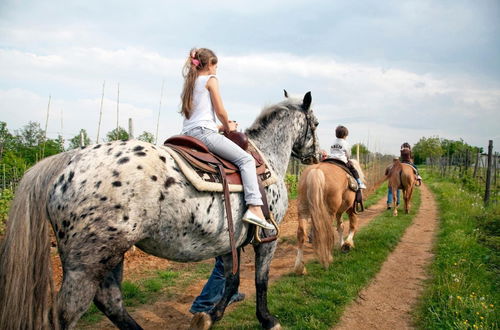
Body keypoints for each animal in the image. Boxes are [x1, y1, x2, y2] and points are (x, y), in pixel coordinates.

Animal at [0, 91, 320, 330]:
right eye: (315, 123)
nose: (317, 155)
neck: (265, 157)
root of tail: (69, 159)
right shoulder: (268, 237)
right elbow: (260, 280)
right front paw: (267, 320)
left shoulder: (229, 241)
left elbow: (231, 279)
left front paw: (210, 316)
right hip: (87, 263)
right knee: (69, 311)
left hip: (110, 256)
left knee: (110, 301)